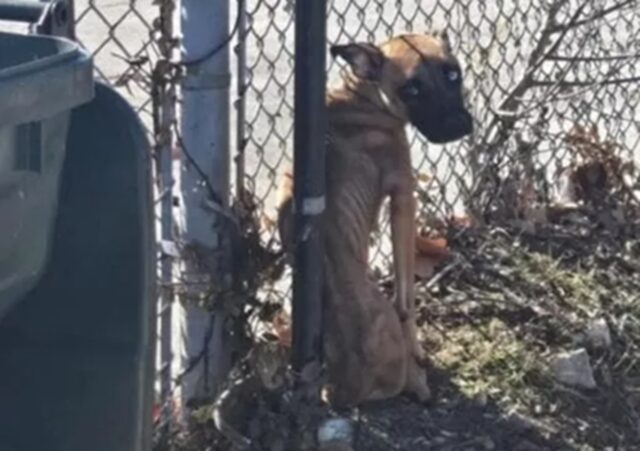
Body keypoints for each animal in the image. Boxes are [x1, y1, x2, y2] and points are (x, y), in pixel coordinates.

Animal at [278, 30, 472, 406]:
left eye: (453, 73)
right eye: (411, 89)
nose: (458, 126)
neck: (361, 95)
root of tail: (346, 389)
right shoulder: (404, 199)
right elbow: (406, 297)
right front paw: (418, 350)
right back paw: (418, 380)